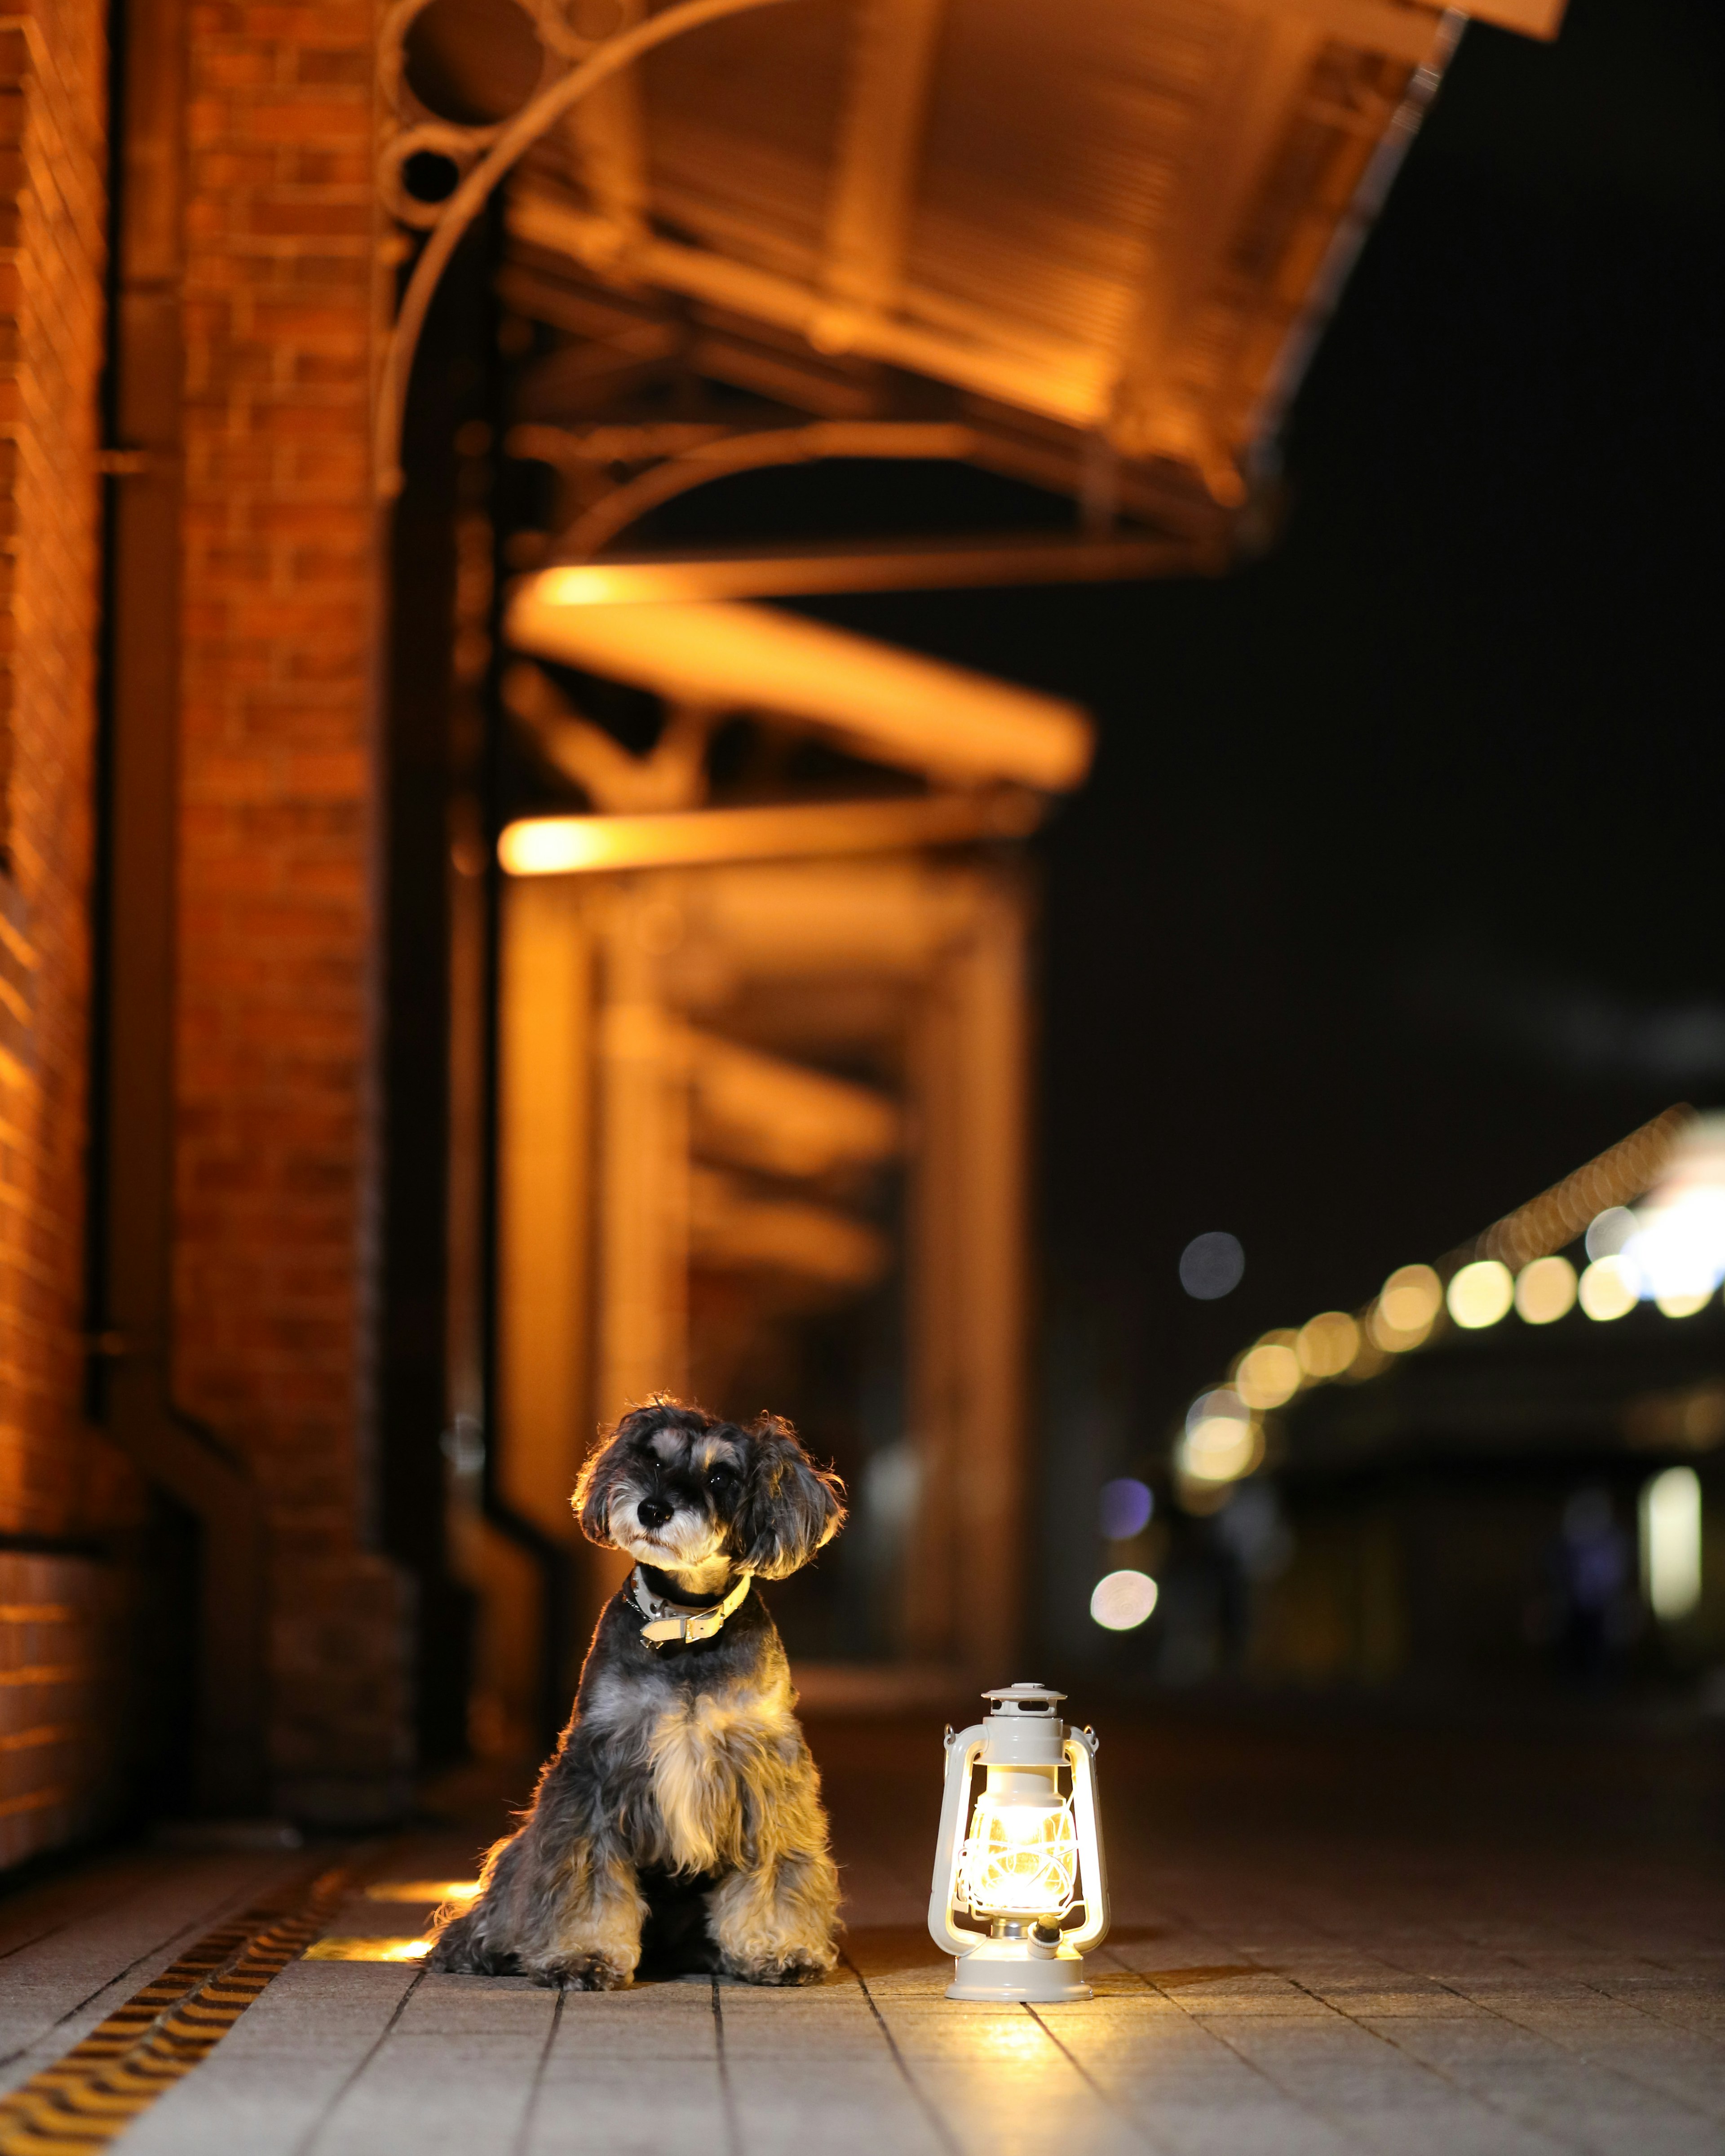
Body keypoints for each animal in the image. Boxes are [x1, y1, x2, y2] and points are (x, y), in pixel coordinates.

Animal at [431, 1397, 849, 1983]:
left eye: (721, 1476)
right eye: (651, 1457)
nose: (653, 1508)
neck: (683, 1625)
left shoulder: (768, 1773)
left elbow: (777, 1866)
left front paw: (780, 1947)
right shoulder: (594, 1766)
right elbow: (585, 1869)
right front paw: (583, 1951)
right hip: (520, 1854)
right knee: (509, 1888)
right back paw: (479, 1946)